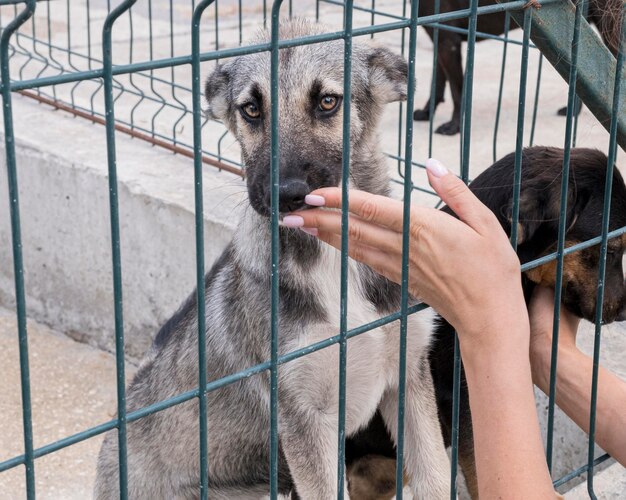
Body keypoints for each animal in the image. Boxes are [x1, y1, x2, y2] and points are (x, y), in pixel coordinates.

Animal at [94, 18, 448, 496]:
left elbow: (436, 476)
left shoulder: (407, 379)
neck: (333, 258)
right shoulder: (303, 418)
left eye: (327, 101)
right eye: (251, 110)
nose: (285, 195)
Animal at [414, 0, 624, 135]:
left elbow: (457, 90)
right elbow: (437, 83)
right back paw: (572, 112)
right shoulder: (441, 40)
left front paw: (454, 126)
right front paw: (427, 113)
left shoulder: (448, 41)